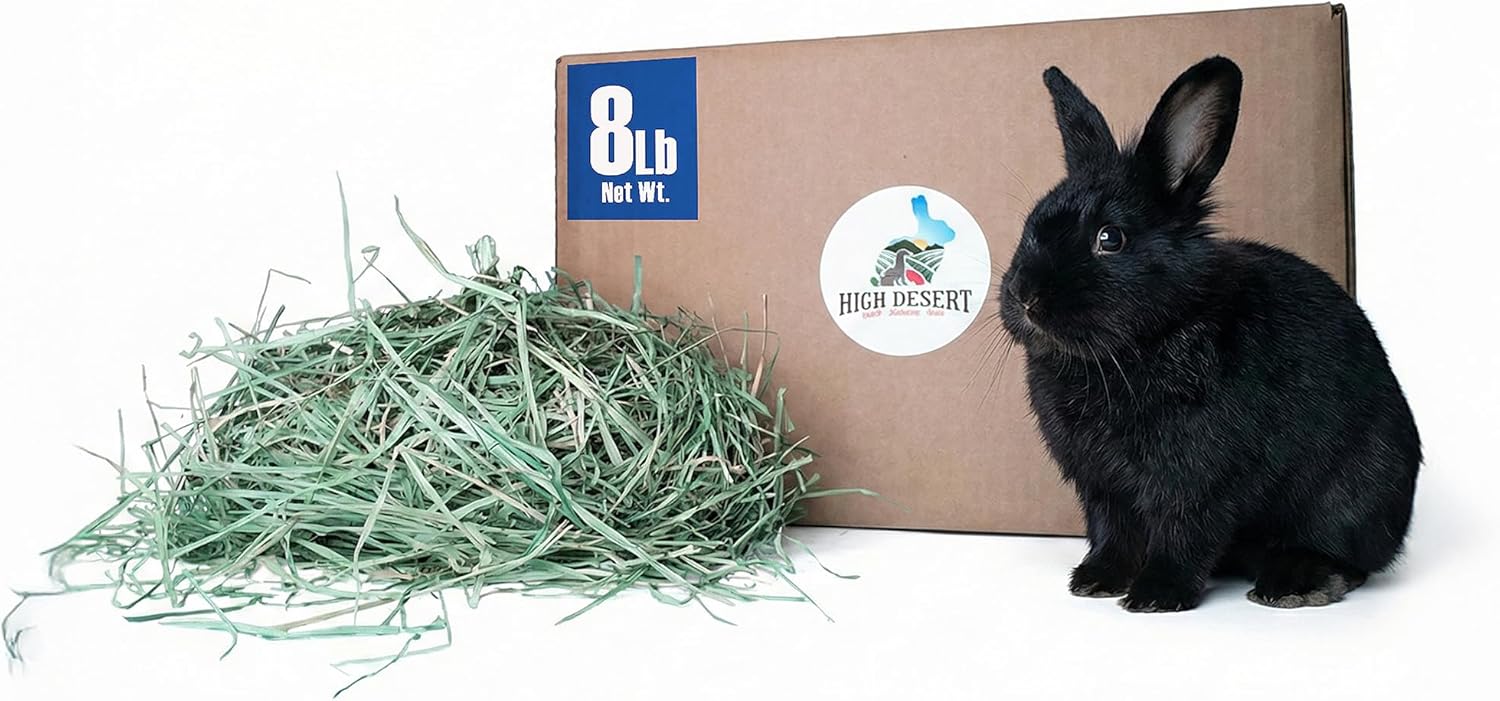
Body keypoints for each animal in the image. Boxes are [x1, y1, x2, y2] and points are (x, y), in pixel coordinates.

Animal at [997, 56, 1421, 612]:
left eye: (1110, 238)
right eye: (1031, 225)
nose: (1025, 297)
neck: (1136, 346)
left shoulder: (1201, 480)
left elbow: (1184, 535)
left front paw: (1155, 595)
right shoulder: (1102, 487)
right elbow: (1114, 533)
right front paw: (1095, 581)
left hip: (1351, 496)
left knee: (1350, 557)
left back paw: (1296, 585)